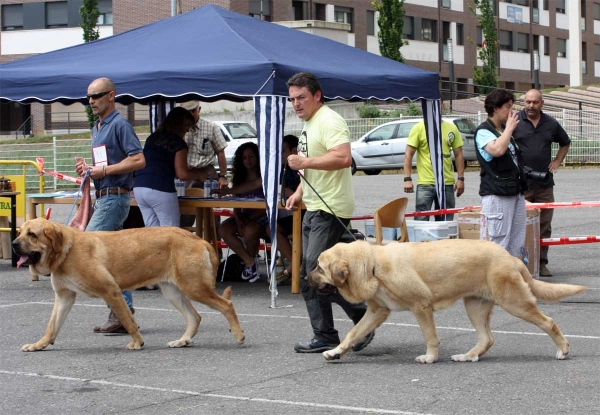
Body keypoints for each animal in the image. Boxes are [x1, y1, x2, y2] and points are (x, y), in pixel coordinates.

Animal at [12, 219, 246, 352]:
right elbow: (52, 326)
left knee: (226, 305)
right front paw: (39, 345)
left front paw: (137, 342)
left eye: (32, 235)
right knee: (194, 317)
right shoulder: (64, 297)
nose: (14, 244)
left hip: (194, 287)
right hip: (173, 291)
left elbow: (128, 319)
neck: (65, 252)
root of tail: (199, 239)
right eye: (19, 231)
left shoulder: (111, 291)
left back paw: (238, 334)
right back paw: (182, 341)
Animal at [310, 240, 584, 364]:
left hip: (515, 302)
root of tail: (511, 257)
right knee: (486, 338)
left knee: (548, 322)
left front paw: (430, 357)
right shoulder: (377, 312)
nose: (306, 277)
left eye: (320, 268)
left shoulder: (421, 307)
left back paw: (563, 349)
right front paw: (335, 351)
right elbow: (353, 333)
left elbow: (430, 336)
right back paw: (467, 356)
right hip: (475, 306)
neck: (373, 267)